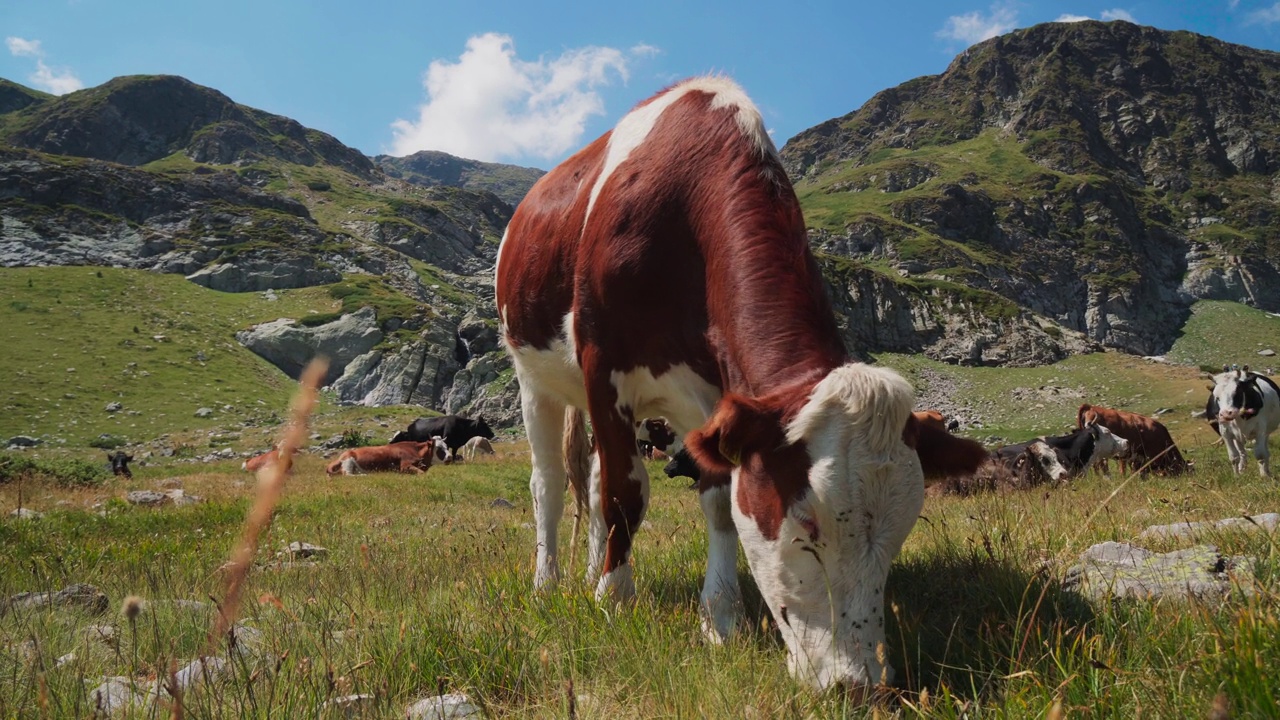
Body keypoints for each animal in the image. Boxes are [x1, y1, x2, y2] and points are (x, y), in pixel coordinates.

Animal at [494, 77, 972, 691]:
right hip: (536, 378)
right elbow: (625, 495)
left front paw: (720, 618)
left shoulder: (719, 400)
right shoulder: (604, 370)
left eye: (898, 533)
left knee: (595, 477)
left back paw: (594, 566)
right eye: (807, 526)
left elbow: (718, 501)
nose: (858, 684)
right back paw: (550, 582)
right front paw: (614, 600)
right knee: (551, 484)